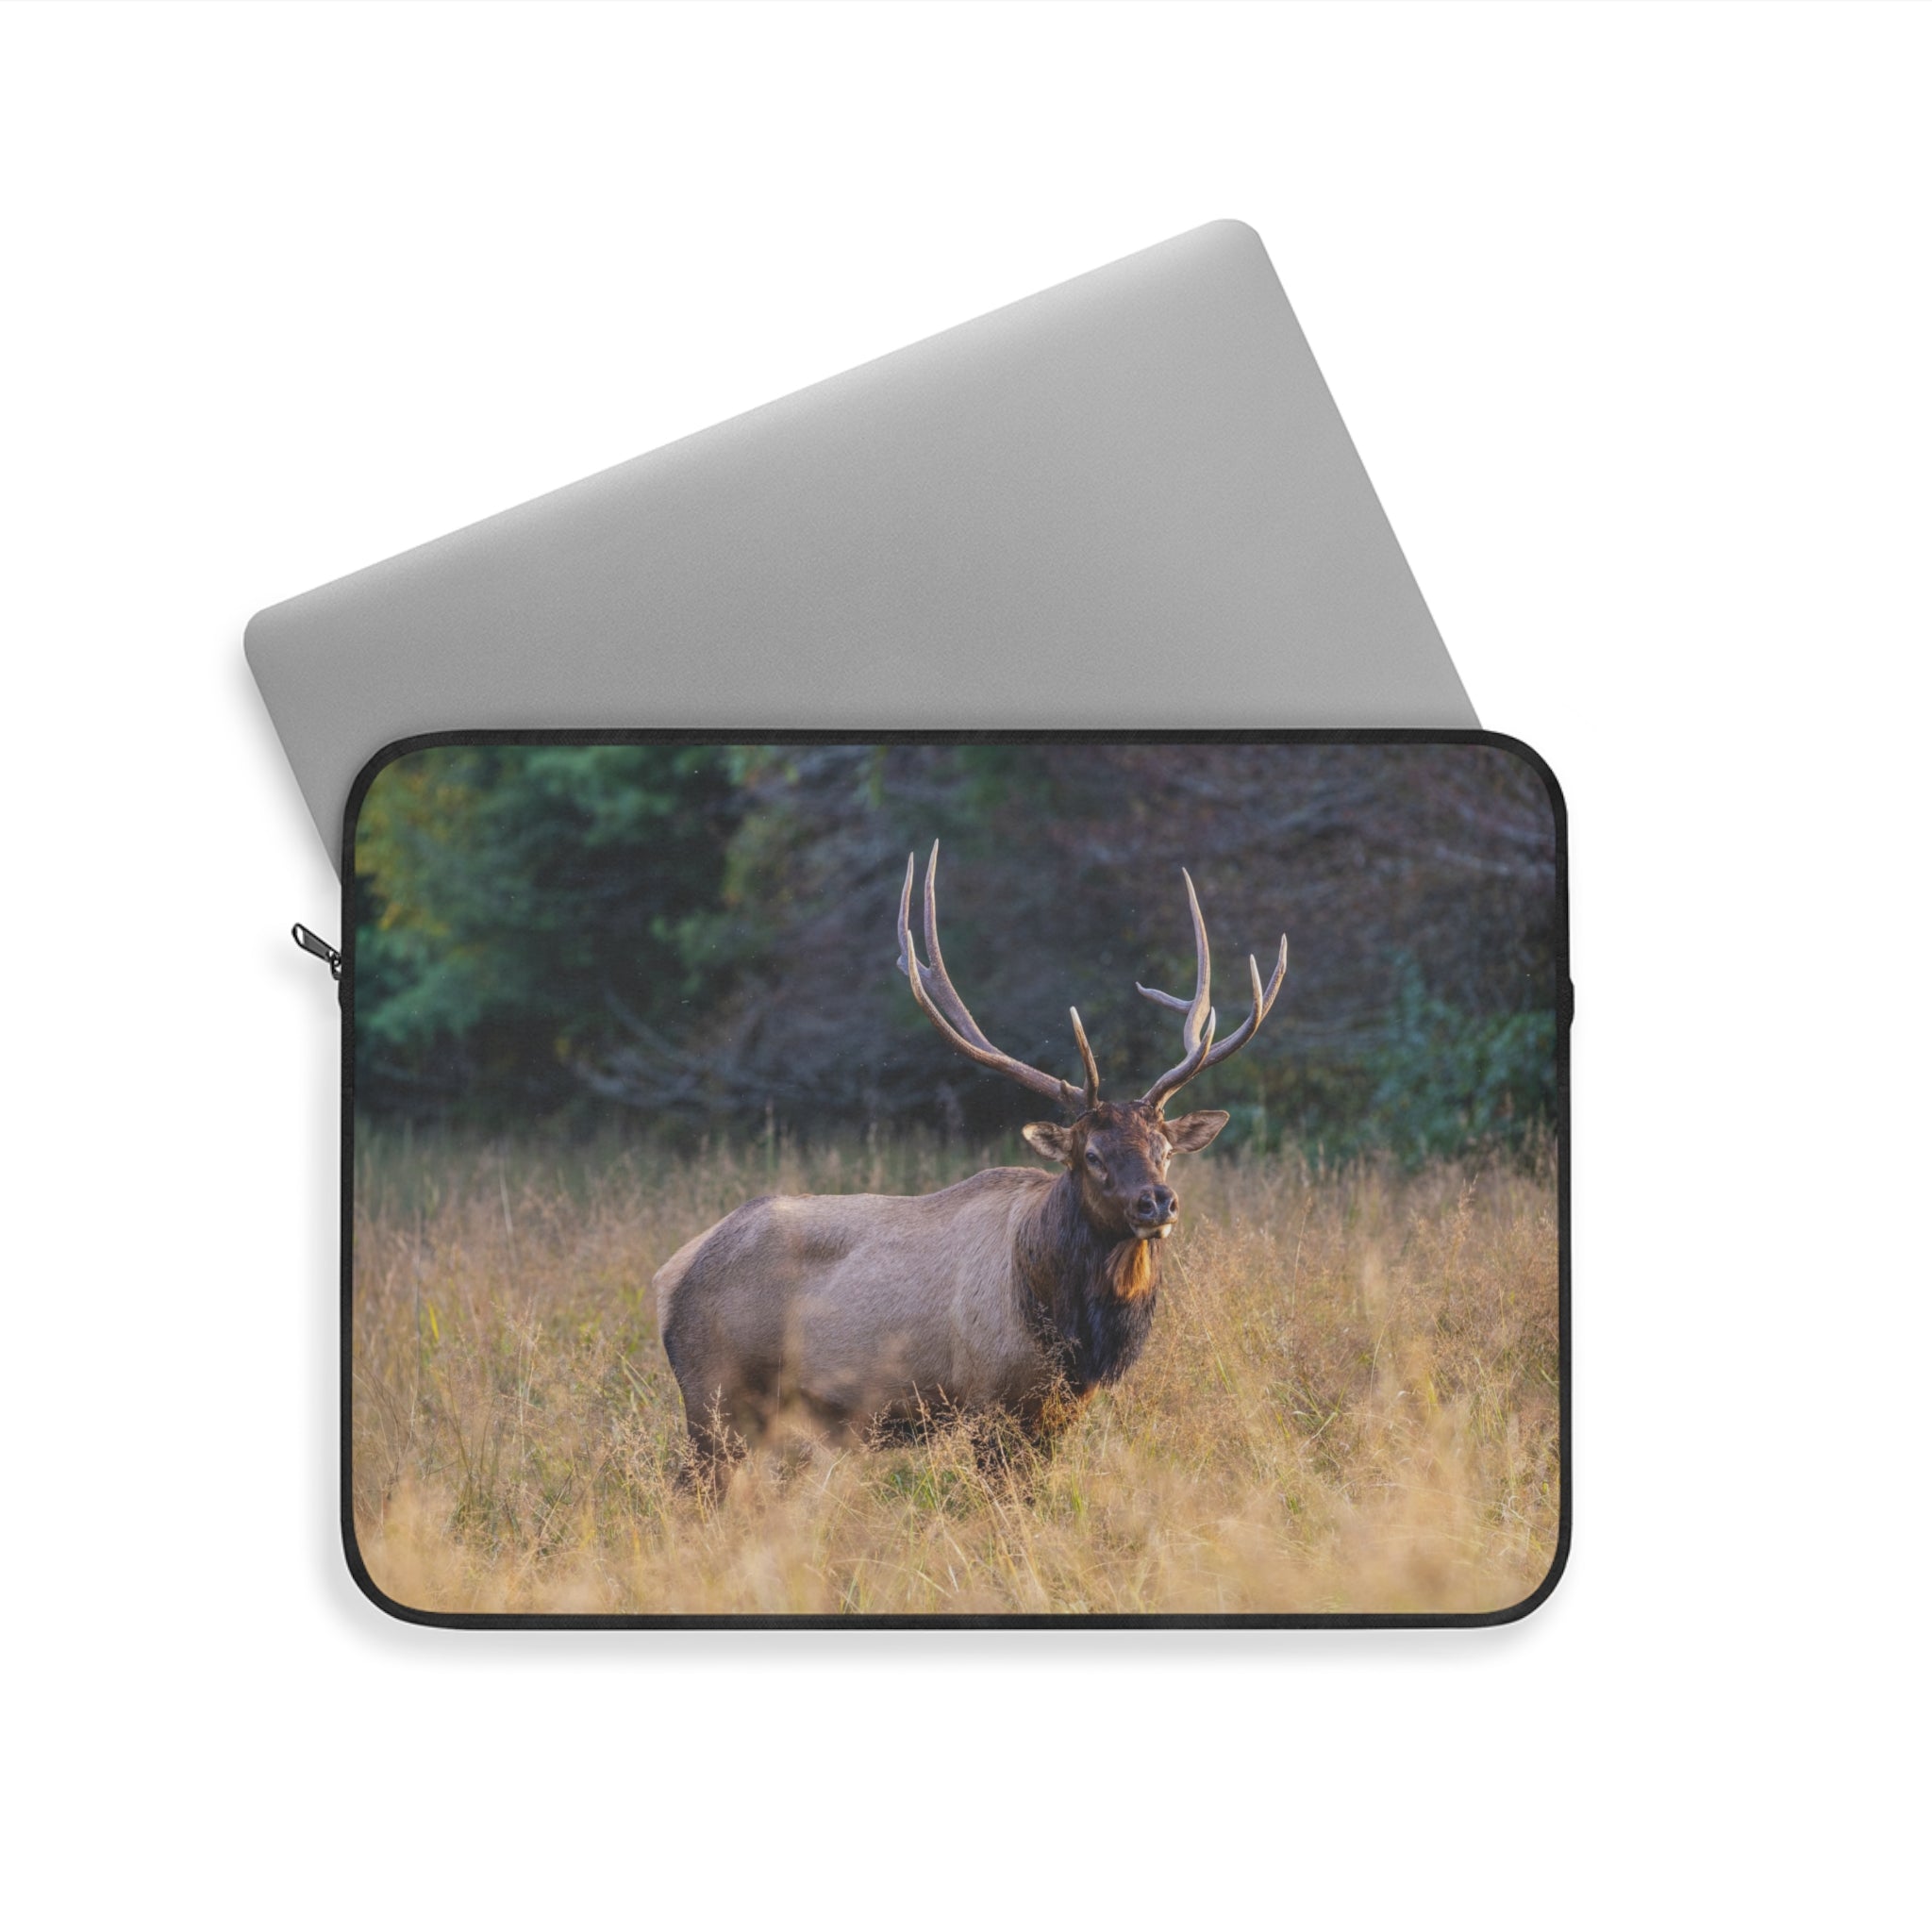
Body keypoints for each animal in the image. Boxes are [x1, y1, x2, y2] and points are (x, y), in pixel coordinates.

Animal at [653, 843, 1287, 1489]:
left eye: (1164, 1150)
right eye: (1092, 1155)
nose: (1156, 1201)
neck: (1069, 1326)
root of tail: (670, 1276)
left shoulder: (1057, 1411)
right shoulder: (989, 1402)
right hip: (715, 1395)